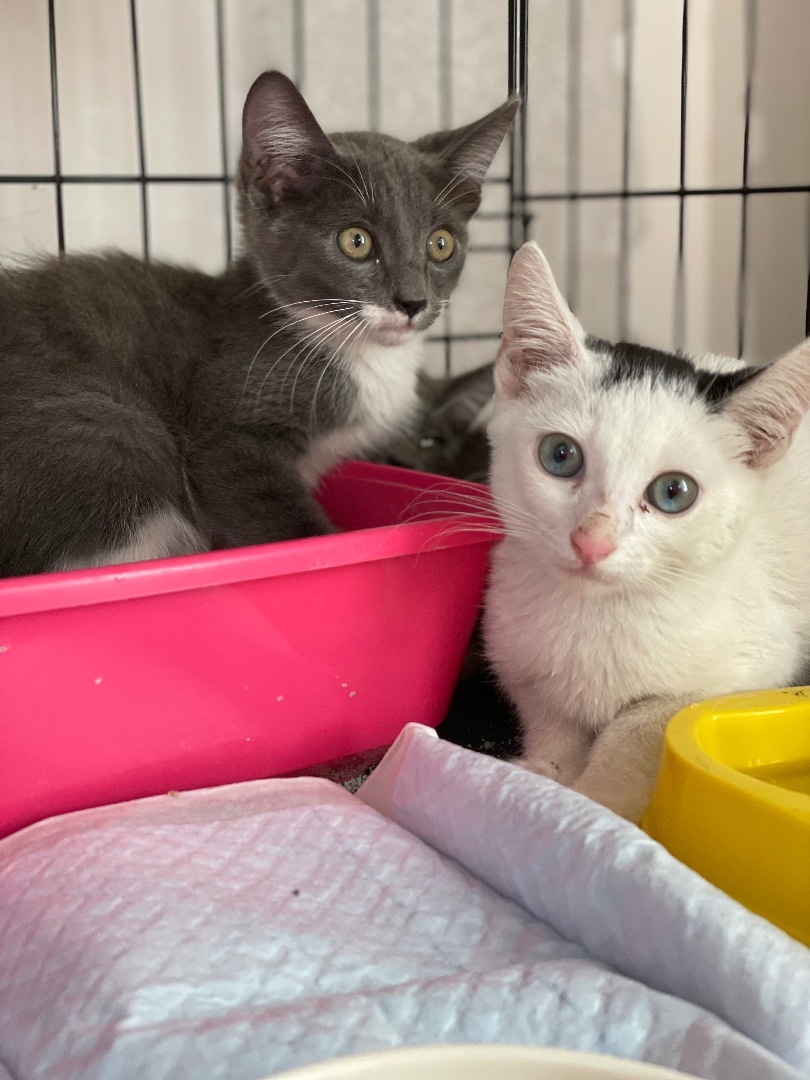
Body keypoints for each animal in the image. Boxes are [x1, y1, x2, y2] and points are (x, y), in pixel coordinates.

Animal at [0, 71, 520, 578]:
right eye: (355, 241)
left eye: (440, 244)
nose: (413, 301)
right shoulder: (229, 429)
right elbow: (286, 526)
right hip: (106, 434)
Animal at [481, 243, 810, 816]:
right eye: (559, 456)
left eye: (674, 492)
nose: (593, 541)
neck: (595, 614)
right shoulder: (522, 665)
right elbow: (552, 721)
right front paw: (547, 774)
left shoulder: (756, 666)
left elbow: (641, 726)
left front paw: (600, 799)